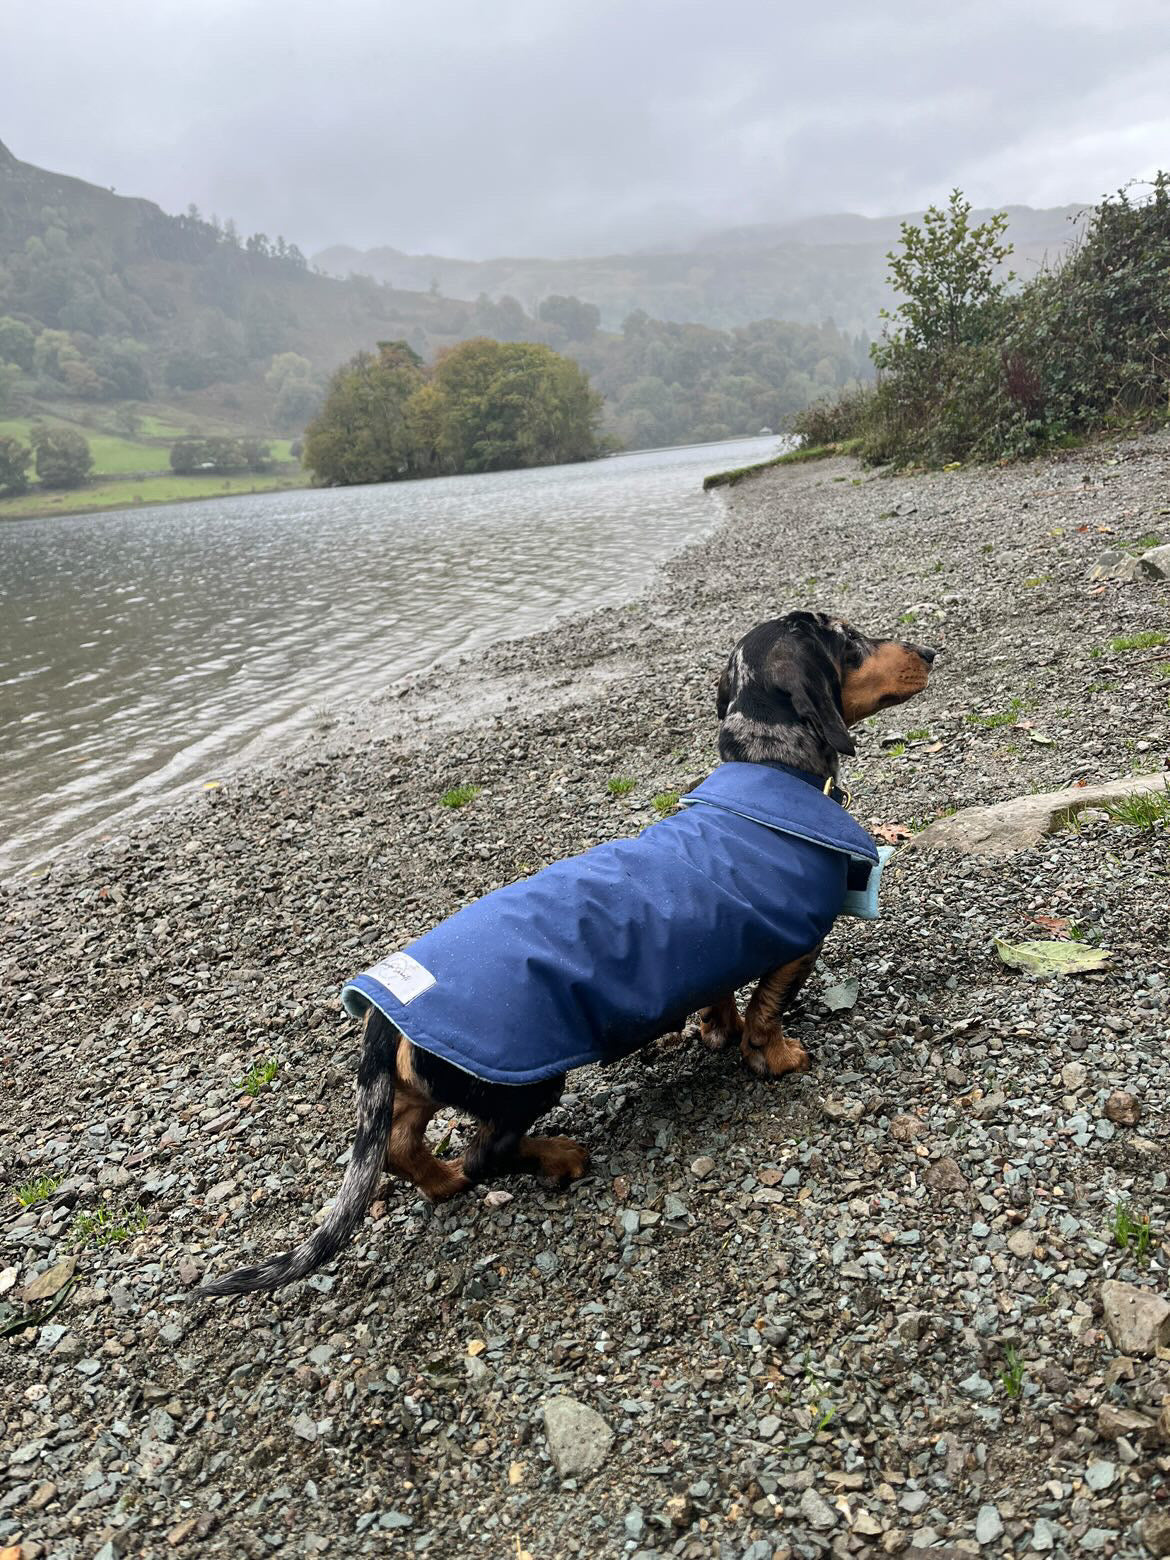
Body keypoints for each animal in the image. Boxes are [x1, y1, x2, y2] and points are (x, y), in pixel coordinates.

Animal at [199, 614, 935, 1297]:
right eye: (848, 640)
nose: (929, 651)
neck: (768, 768)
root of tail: (382, 1014)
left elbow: (721, 994)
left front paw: (717, 1032)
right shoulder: (798, 942)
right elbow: (768, 1009)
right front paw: (777, 1056)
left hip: (424, 1084)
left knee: (404, 1146)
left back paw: (440, 1182)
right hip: (525, 1082)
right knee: (486, 1153)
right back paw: (557, 1157)